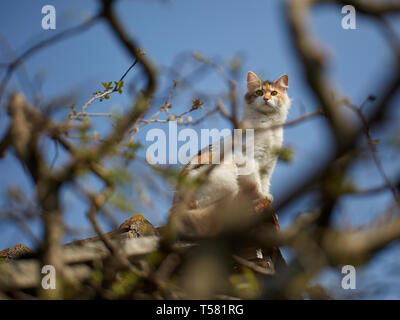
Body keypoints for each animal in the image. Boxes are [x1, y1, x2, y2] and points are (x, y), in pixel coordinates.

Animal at [167, 72, 292, 238]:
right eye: (259, 92)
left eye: (273, 93)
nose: (266, 99)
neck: (269, 127)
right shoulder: (249, 159)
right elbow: (257, 182)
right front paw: (261, 196)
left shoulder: (268, 166)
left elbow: (264, 183)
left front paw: (267, 197)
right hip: (225, 175)